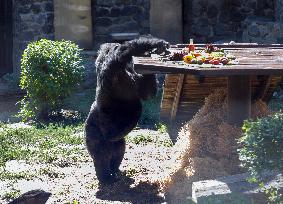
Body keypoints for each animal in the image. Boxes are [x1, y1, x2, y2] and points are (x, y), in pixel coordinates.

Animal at [84, 35, 169, 184]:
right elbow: (125, 50)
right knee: (101, 156)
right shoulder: (114, 64)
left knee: (118, 150)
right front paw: (157, 44)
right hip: (92, 135)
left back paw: (115, 171)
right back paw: (105, 178)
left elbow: (148, 91)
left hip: (114, 141)